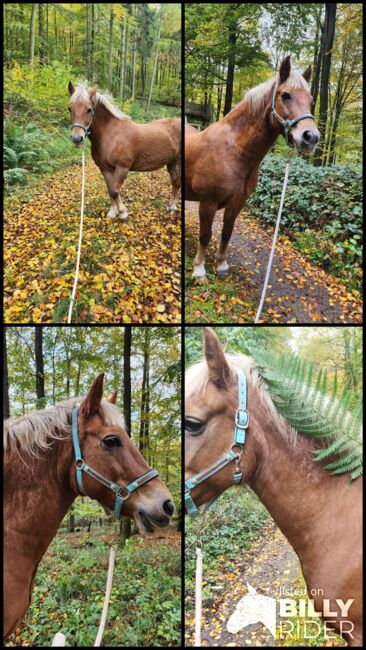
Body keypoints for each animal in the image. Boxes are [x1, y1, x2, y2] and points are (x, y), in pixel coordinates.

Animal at [68, 82, 181, 219]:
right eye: (70, 108)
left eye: (89, 109)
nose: (76, 138)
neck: (111, 134)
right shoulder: (105, 169)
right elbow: (110, 189)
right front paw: (112, 212)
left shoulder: (122, 168)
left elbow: (115, 191)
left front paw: (123, 213)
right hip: (171, 162)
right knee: (175, 182)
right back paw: (171, 206)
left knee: (178, 182)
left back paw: (173, 206)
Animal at [184, 56, 318, 278]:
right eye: (285, 95)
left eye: (311, 100)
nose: (311, 138)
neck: (232, 152)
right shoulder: (208, 203)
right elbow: (205, 235)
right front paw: (199, 270)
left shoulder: (237, 204)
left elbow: (226, 233)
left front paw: (221, 264)